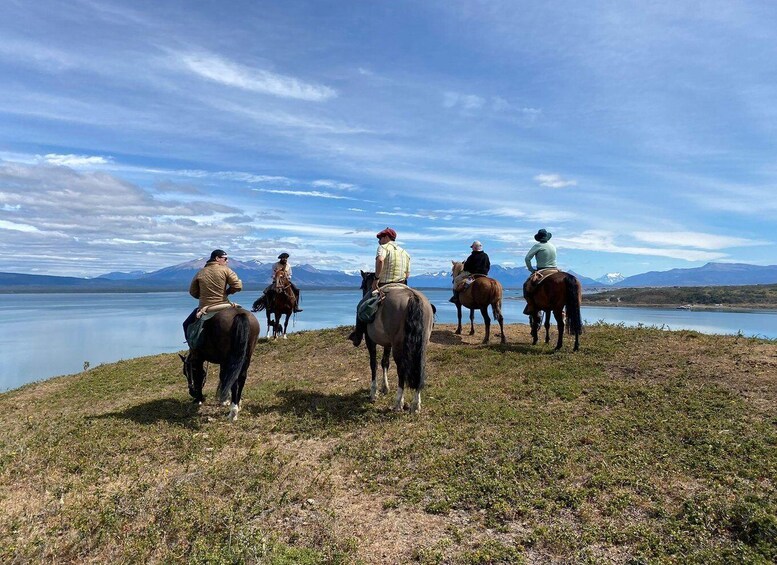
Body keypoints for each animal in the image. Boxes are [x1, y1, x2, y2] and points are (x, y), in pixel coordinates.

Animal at [358, 272, 434, 414]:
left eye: (362, 286)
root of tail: (412, 297)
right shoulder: (388, 344)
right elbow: (385, 362)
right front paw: (385, 388)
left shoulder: (370, 341)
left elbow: (373, 364)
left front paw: (373, 392)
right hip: (422, 344)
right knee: (420, 367)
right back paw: (416, 404)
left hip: (399, 346)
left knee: (401, 370)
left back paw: (399, 402)